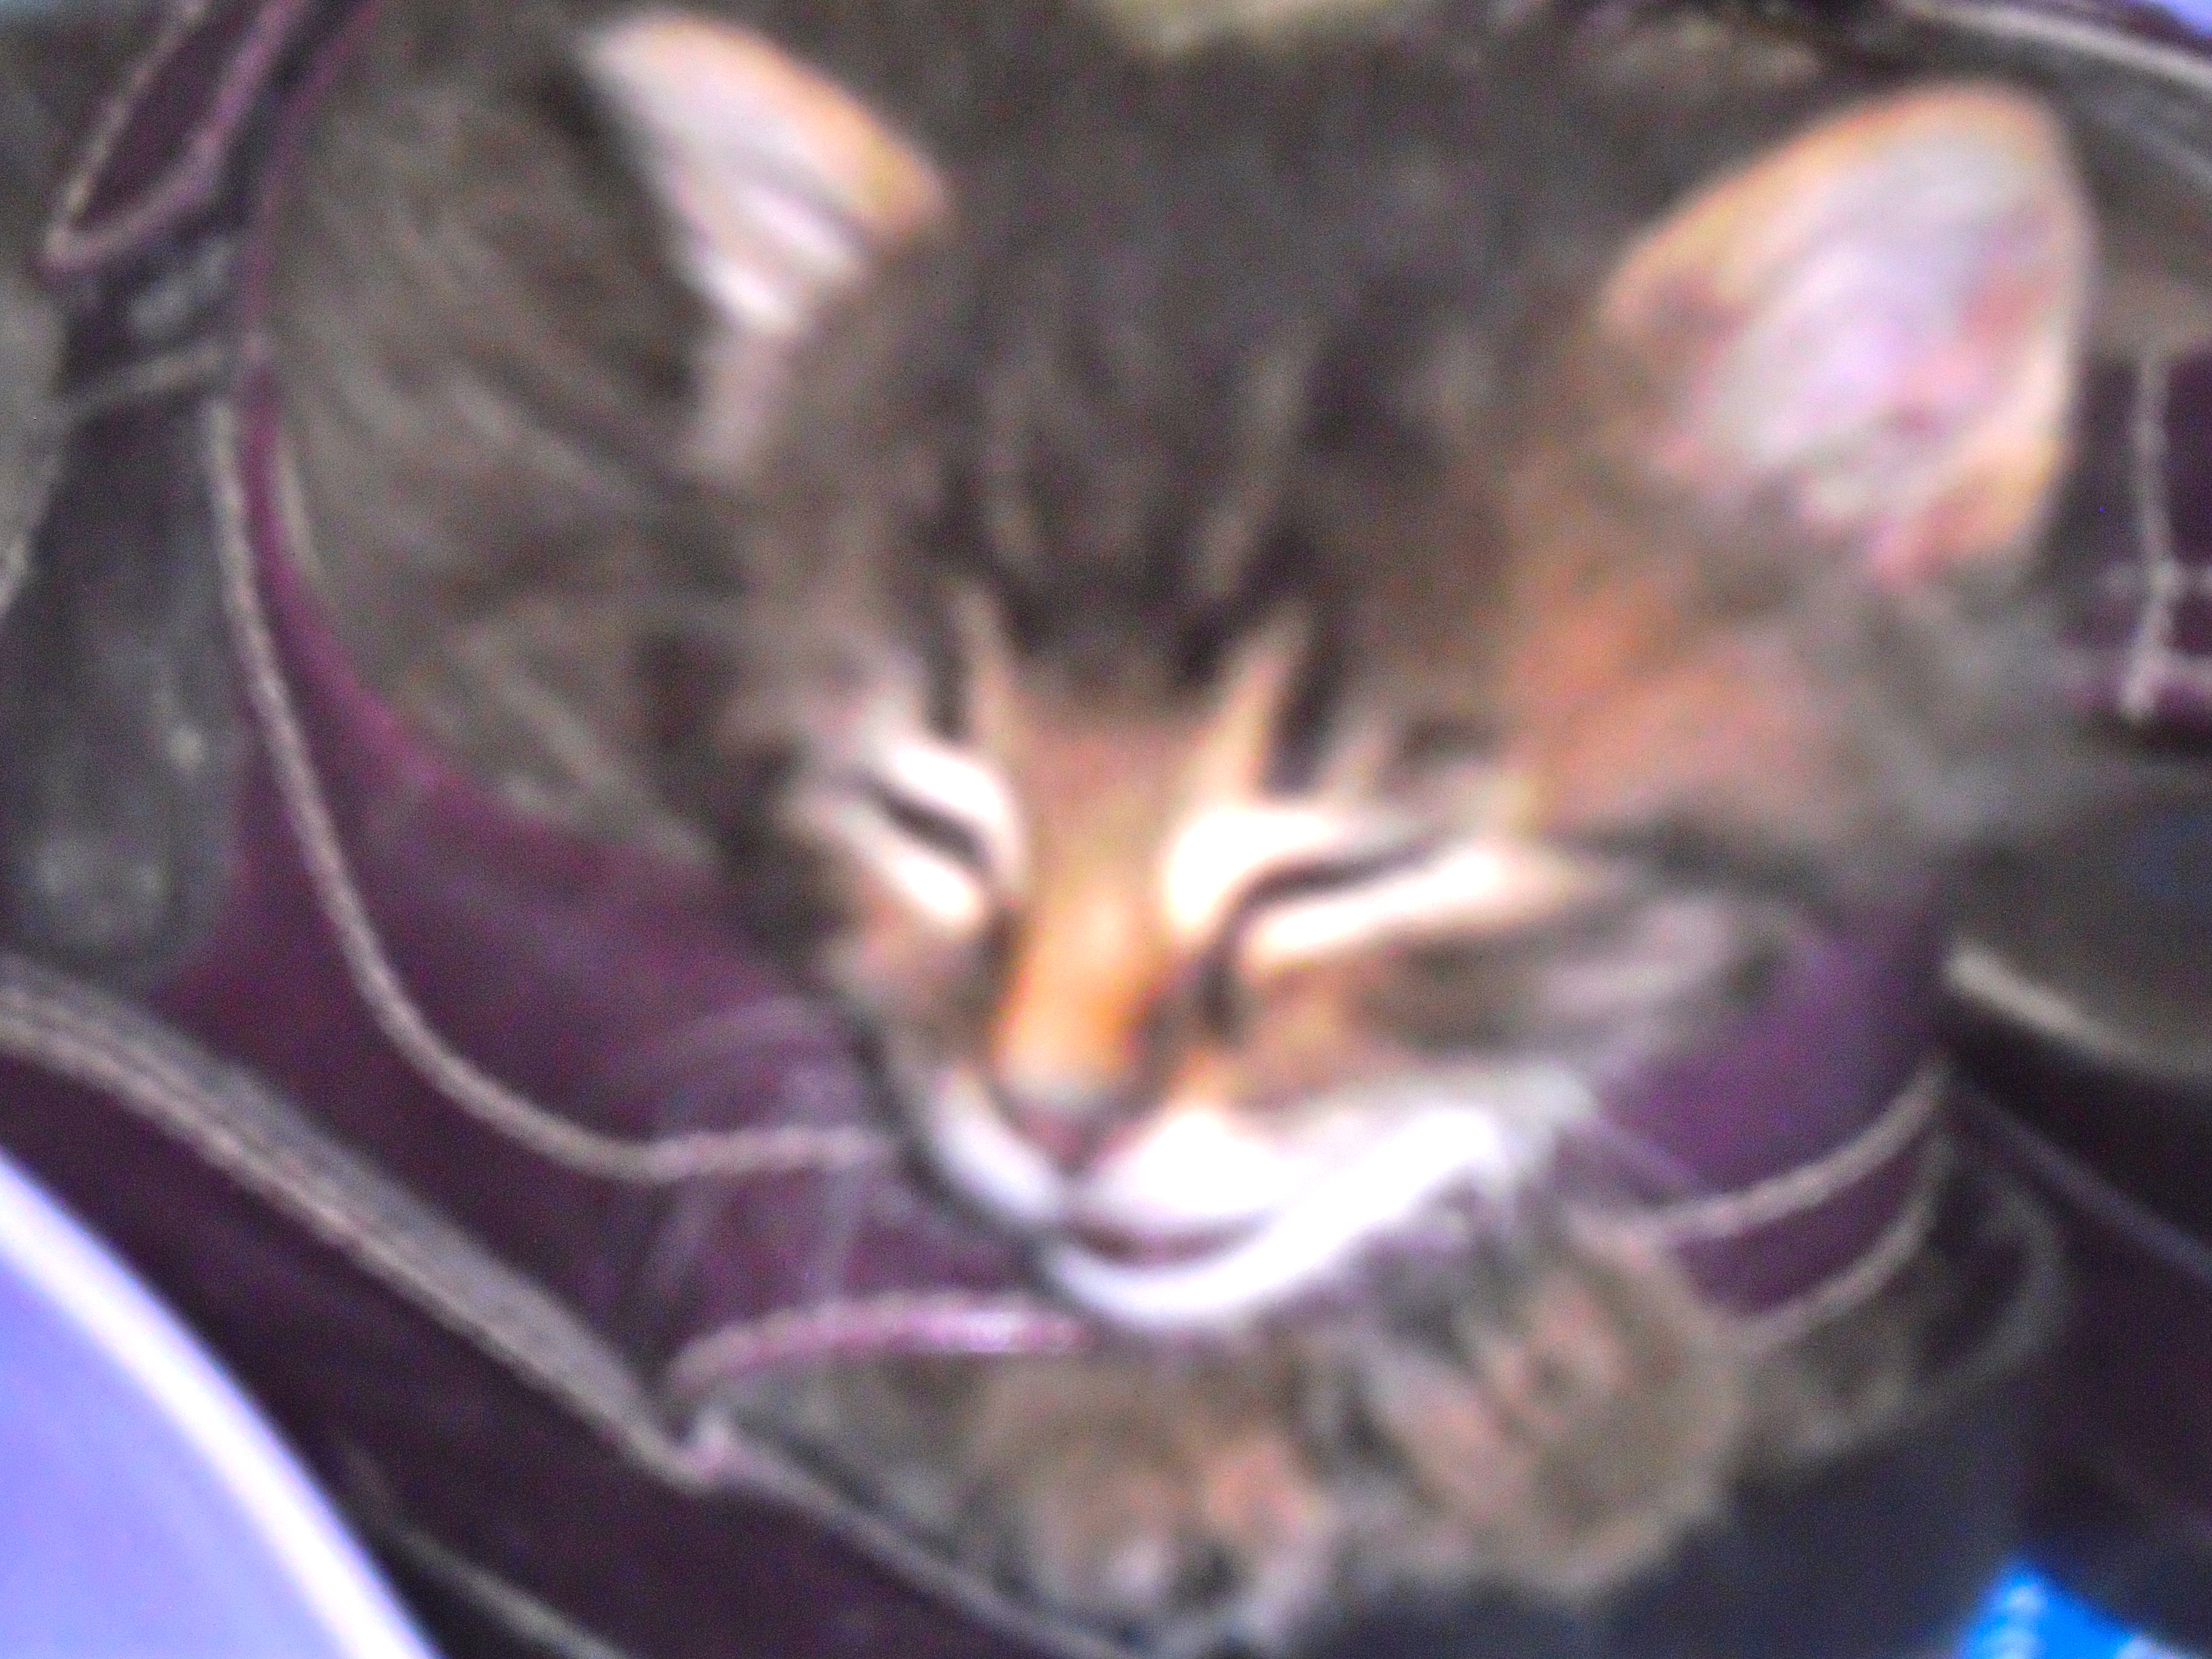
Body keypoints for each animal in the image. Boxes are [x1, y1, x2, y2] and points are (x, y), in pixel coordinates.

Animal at [245, 0, 2107, 1649]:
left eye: (1349, 863)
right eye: (931, 812)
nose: (1055, 1113)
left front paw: (1597, 1405)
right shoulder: (518, 647)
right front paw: (1122, 1419)